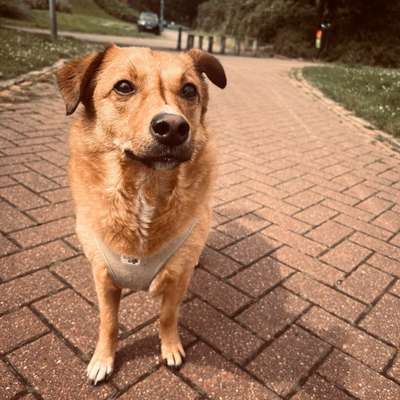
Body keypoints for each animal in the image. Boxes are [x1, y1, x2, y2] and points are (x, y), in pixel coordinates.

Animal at [56, 46, 227, 384]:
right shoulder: (103, 279)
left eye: (189, 90)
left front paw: (170, 347)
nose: (173, 128)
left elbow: (167, 316)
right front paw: (103, 359)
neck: (144, 192)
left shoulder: (176, 281)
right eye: (124, 87)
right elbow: (108, 323)